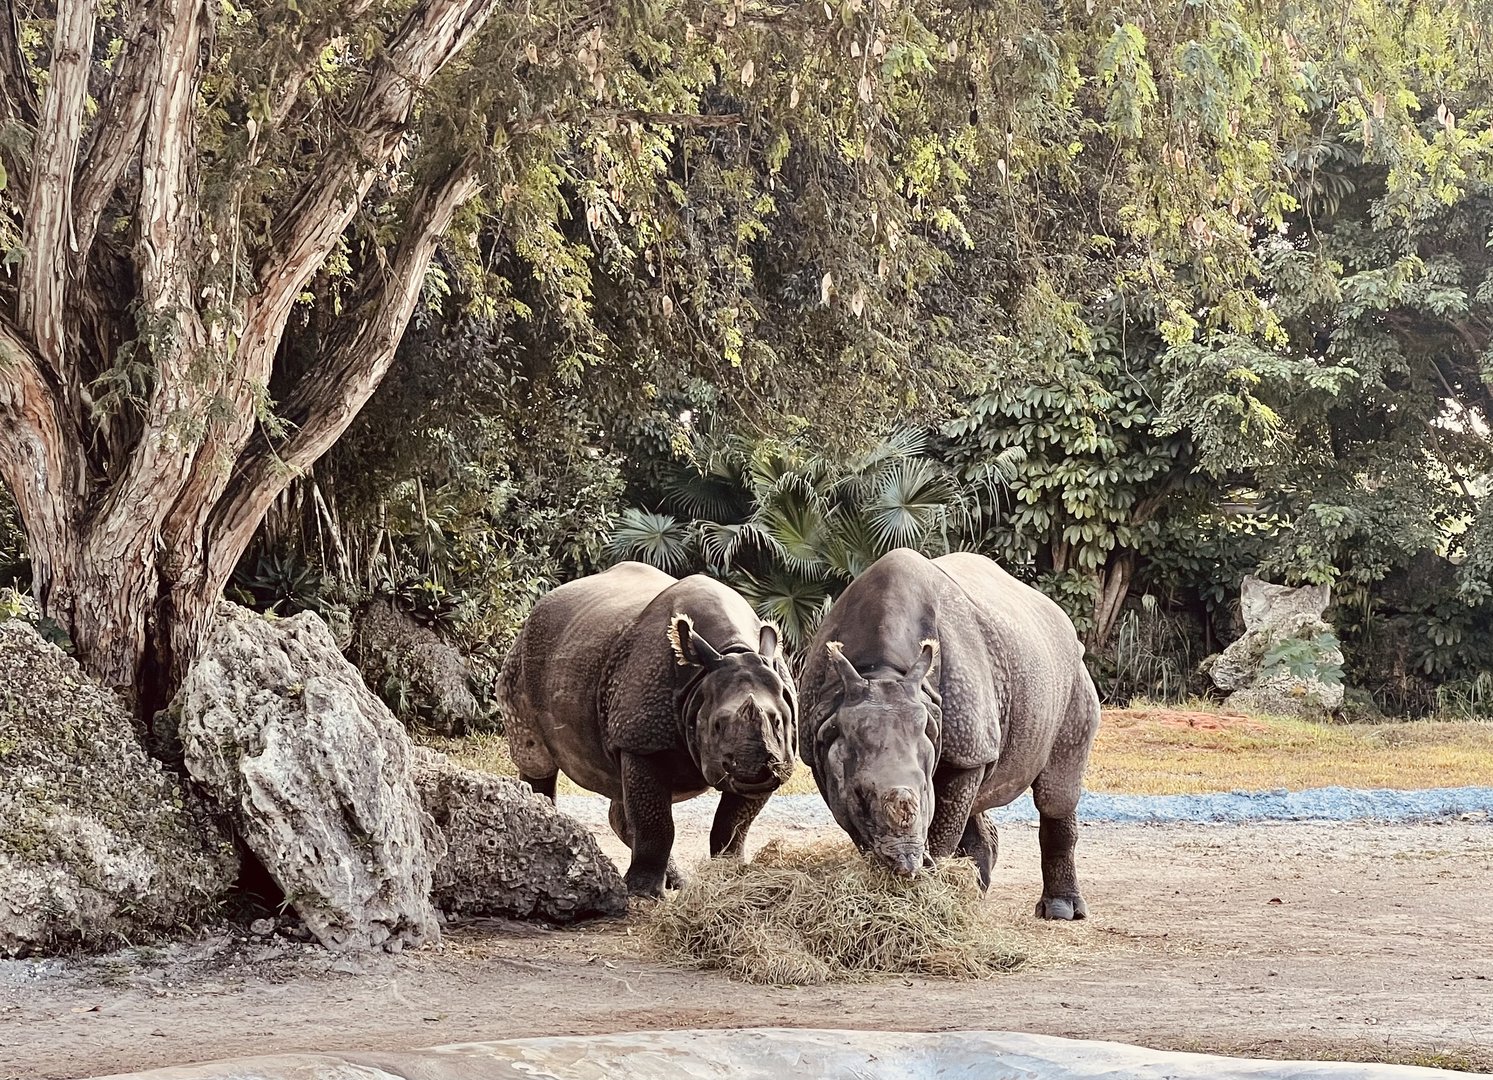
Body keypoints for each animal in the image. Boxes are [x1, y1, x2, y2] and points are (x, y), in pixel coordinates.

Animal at [499, 562, 798, 897]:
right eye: (717, 725)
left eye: (778, 721)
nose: (753, 770)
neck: (731, 651)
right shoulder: (641, 740)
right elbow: (656, 823)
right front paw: (644, 894)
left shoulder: (778, 760)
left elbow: (732, 824)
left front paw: (731, 875)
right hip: (523, 656)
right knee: (536, 760)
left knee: (618, 787)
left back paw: (677, 882)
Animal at [799, 548, 1100, 920]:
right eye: (860, 794)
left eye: (924, 790)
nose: (906, 863)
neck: (881, 672)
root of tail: (1060, 619)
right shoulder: (820, 744)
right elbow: (852, 819)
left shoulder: (964, 747)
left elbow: (945, 826)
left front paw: (929, 886)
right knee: (981, 791)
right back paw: (975, 895)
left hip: (1070, 676)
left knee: (1055, 792)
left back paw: (1060, 912)